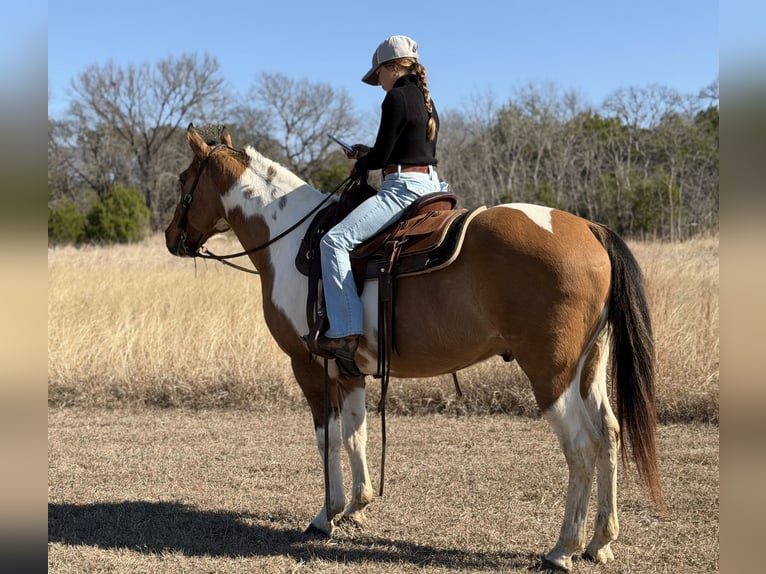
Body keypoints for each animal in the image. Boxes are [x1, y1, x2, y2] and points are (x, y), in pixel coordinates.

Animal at [165, 124, 664, 571]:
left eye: (183, 180)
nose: (172, 238)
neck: (292, 239)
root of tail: (589, 229)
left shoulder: (308, 366)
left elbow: (328, 438)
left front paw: (327, 514)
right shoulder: (350, 369)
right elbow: (356, 434)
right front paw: (358, 506)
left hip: (551, 375)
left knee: (581, 447)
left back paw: (562, 548)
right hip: (588, 369)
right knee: (609, 435)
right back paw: (599, 541)